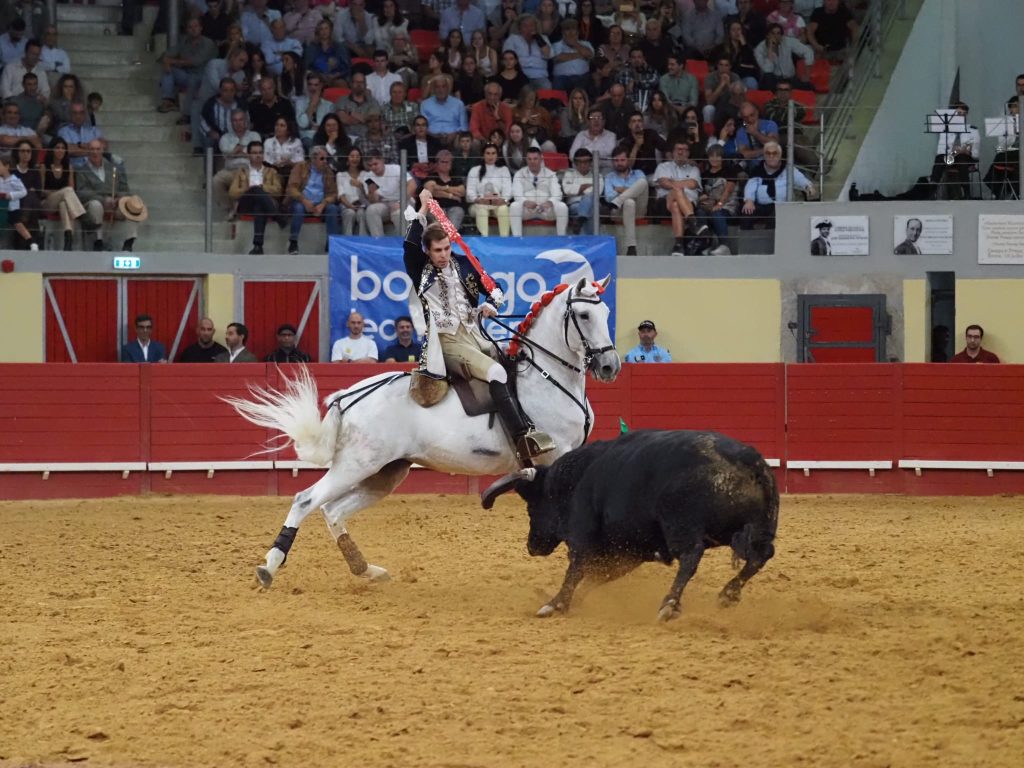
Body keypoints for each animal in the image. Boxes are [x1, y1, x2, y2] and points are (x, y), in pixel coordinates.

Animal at [227, 275, 621, 589]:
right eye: (584, 315)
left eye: (606, 312)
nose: (610, 366)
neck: (547, 376)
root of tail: (350, 397)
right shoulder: (558, 454)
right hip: (356, 465)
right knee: (306, 500)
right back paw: (269, 567)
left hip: (385, 473)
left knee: (333, 510)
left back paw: (366, 570)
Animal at [481, 429, 779, 622]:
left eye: (532, 507)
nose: (531, 546)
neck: (574, 481)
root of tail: (748, 460)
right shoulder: (627, 553)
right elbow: (597, 577)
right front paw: (575, 602)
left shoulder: (582, 537)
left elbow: (576, 570)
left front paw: (555, 605)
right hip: (759, 529)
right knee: (760, 556)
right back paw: (728, 594)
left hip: (680, 525)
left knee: (691, 556)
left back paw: (669, 604)